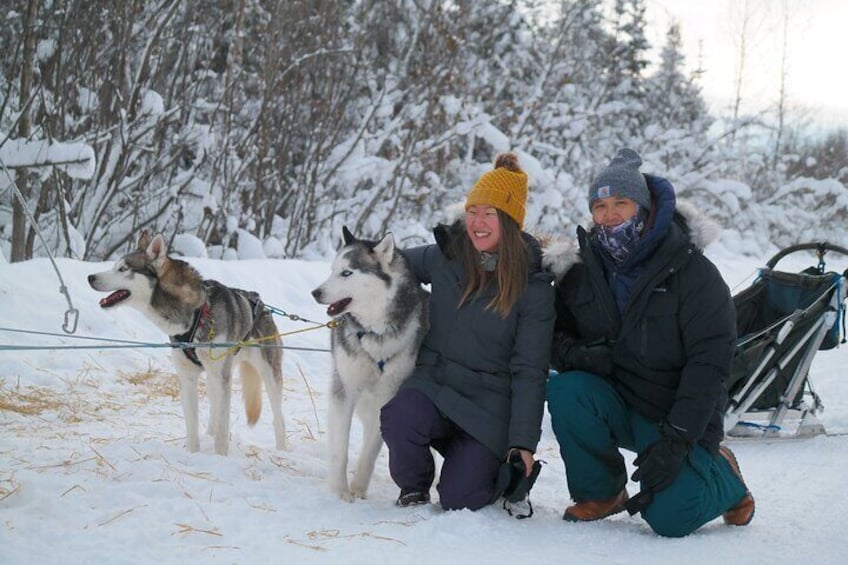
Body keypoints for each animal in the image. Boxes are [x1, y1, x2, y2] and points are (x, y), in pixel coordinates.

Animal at [88, 231, 288, 456]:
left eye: (123, 268)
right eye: (115, 266)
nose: (90, 277)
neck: (196, 312)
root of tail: (260, 304)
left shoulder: (221, 377)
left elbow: (222, 431)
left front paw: (220, 457)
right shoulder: (188, 378)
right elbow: (192, 427)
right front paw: (194, 454)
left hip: (267, 373)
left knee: (277, 417)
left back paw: (282, 449)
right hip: (214, 377)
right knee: (215, 409)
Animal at [312, 227, 428, 500]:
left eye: (347, 272)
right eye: (332, 269)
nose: (316, 293)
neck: (374, 333)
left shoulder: (387, 397)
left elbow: (371, 450)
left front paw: (357, 488)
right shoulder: (343, 391)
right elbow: (340, 449)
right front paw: (339, 490)